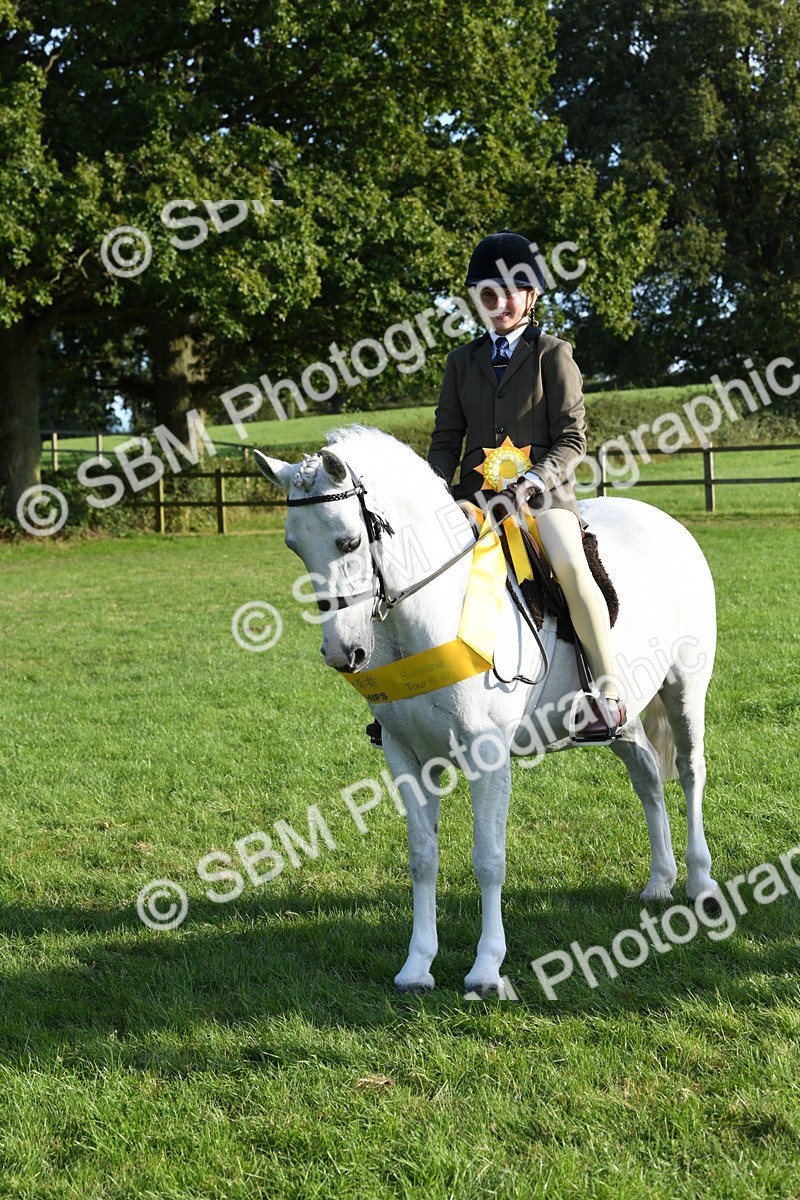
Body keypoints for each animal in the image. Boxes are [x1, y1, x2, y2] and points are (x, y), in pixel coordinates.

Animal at [254, 425, 718, 996]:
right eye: (294, 547)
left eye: (349, 541)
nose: (344, 654)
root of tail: (667, 523)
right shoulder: (406, 759)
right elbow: (422, 859)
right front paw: (417, 966)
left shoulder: (487, 757)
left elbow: (488, 860)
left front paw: (486, 969)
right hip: (622, 716)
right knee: (649, 775)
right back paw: (659, 882)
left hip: (684, 689)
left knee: (690, 771)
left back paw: (700, 881)